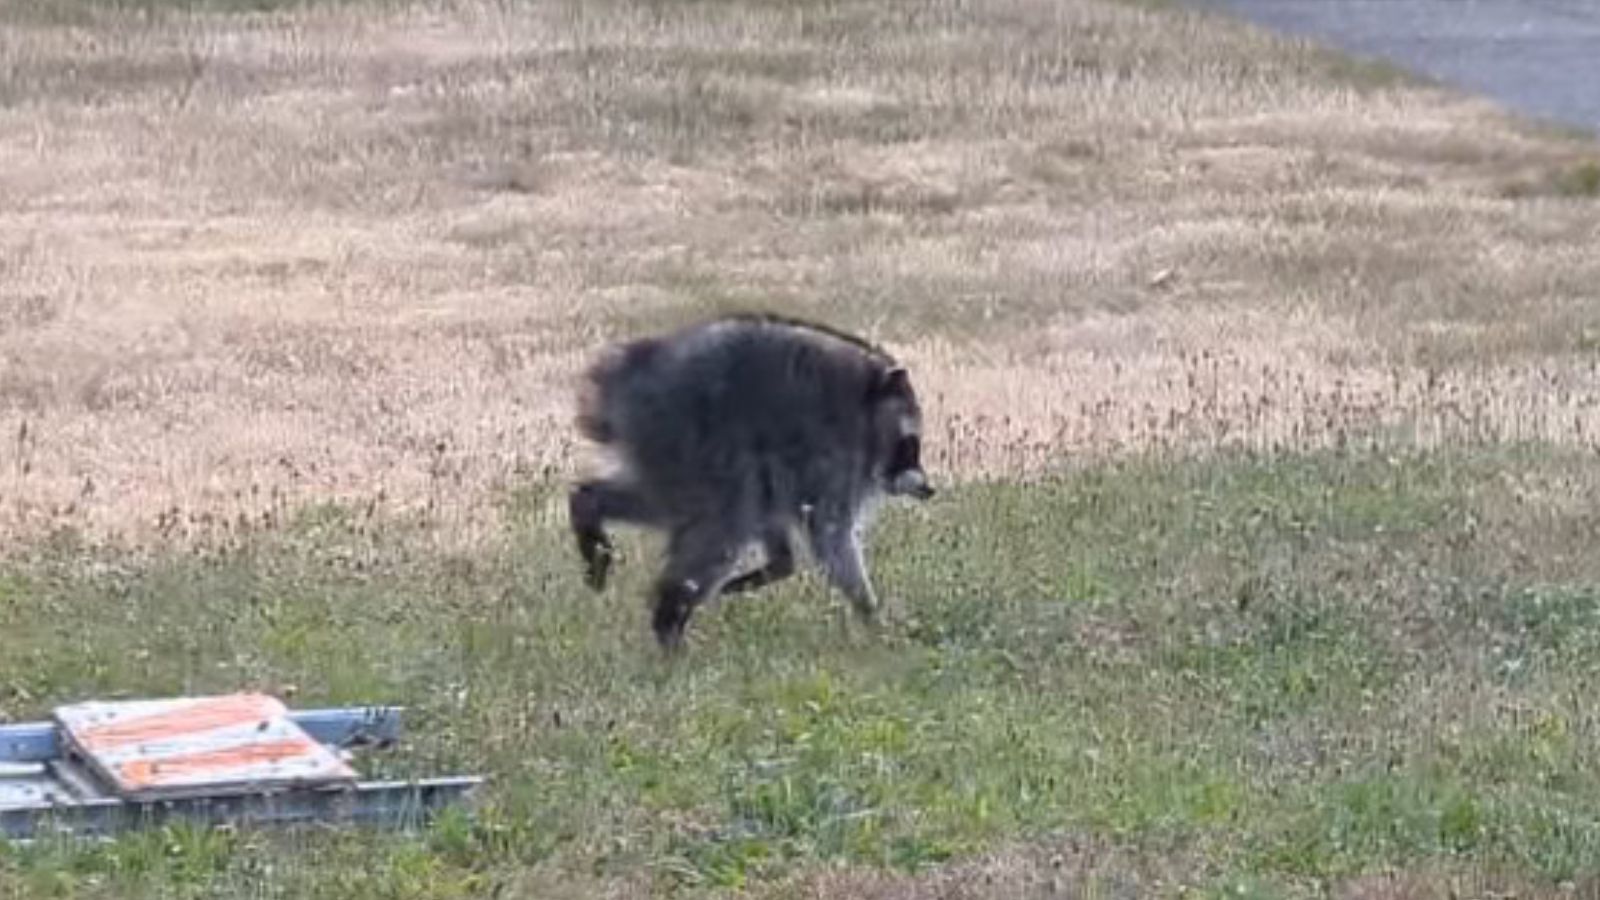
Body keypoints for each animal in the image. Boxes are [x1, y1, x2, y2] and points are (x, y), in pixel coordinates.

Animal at [568, 312, 935, 650]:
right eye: (910, 445)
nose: (928, 488)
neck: (867, 403)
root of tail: (630, 371)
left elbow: (777, 516)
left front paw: (778, 564)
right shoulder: (834, 456)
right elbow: (830, 535)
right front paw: (869, 612)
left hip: (667, 441)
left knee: (696, 504)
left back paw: (588, 504)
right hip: (685, 430)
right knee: (724, 514)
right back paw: (670, 610)